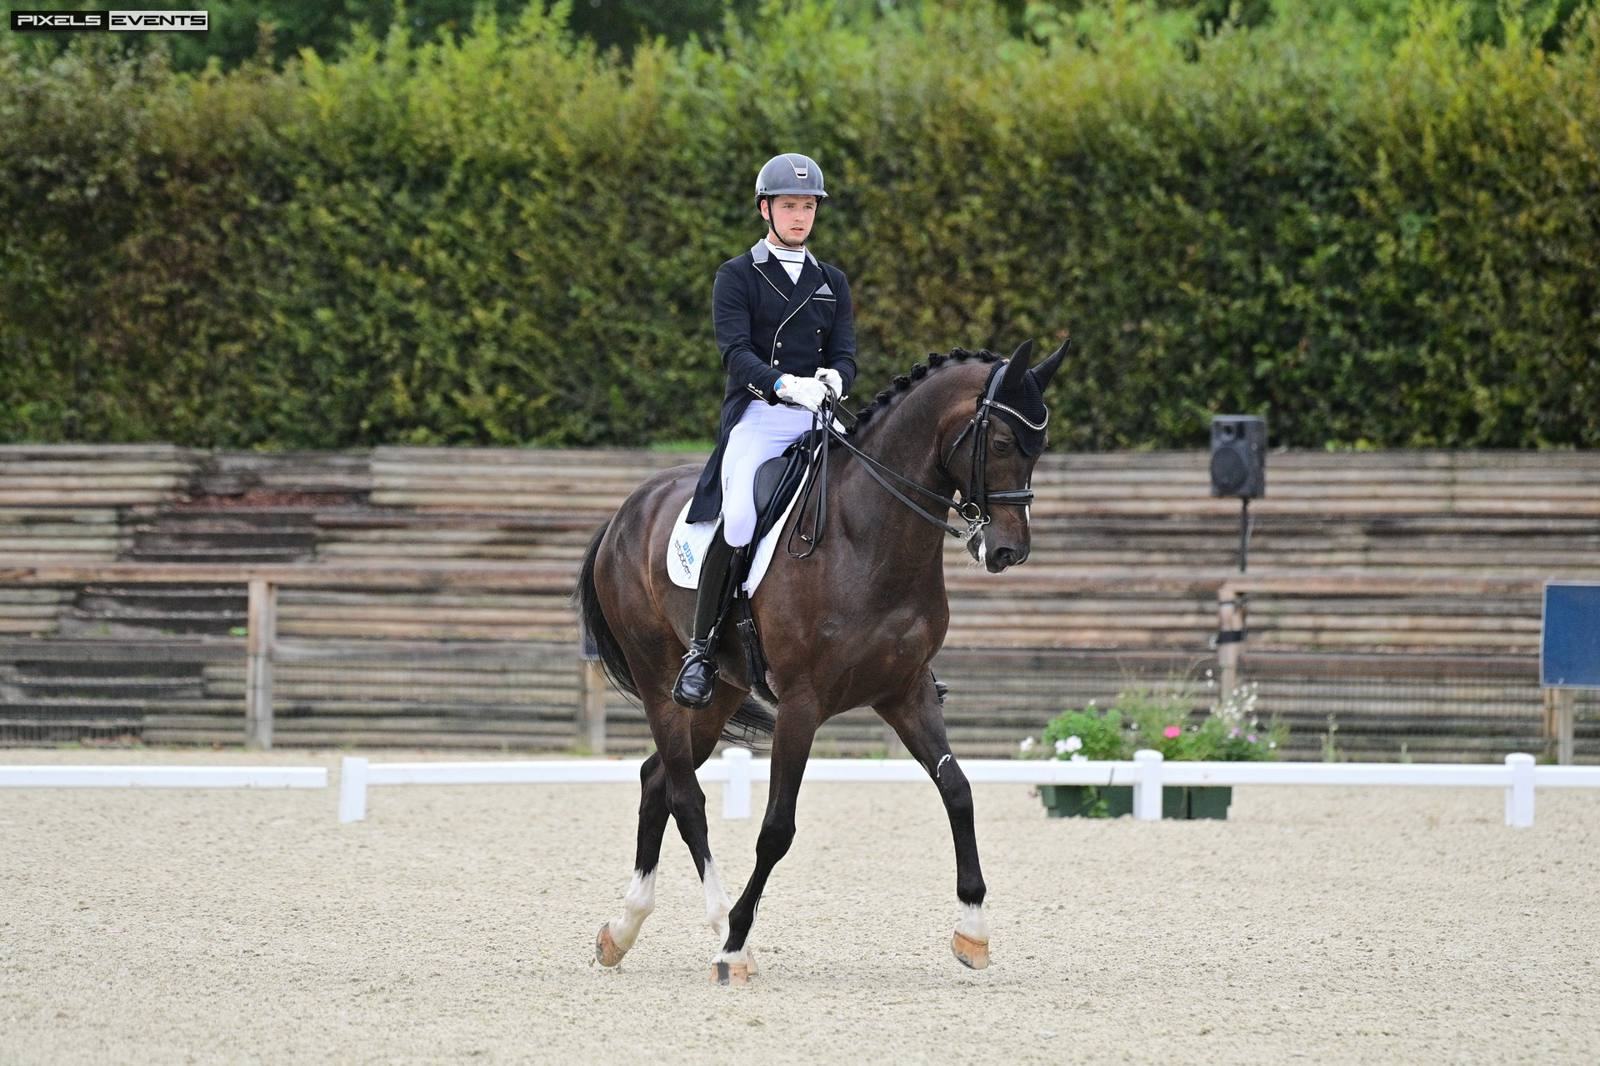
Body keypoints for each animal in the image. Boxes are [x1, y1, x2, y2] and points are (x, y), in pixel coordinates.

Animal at [574, 337, 1067, 981]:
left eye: (1041, 445)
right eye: (1005, 443)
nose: (1009, 550)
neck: (868, 537)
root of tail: (624, 512)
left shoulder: (905, 691)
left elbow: (958, 791)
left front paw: (973, 931)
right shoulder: (802, 705)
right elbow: (776, 829)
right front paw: (735, 941)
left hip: (720, 693)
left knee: (656, 779)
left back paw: (622, 929)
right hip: (660, 680)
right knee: (686, 796)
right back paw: (720, 927)